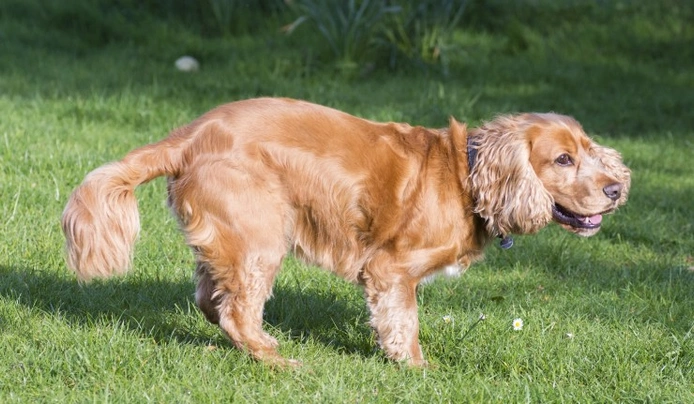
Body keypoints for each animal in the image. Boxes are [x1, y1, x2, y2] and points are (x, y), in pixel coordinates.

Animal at [62, 98, 632, 366]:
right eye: (562, 159)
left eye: (589, 148)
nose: (615, 189)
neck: (468, 175)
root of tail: (189, 136)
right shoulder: (390, 269)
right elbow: (405, 326)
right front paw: (419, 370)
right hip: (263, 237)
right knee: (236, 312)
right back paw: (281, 361)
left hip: (234, 235)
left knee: (211, 298)